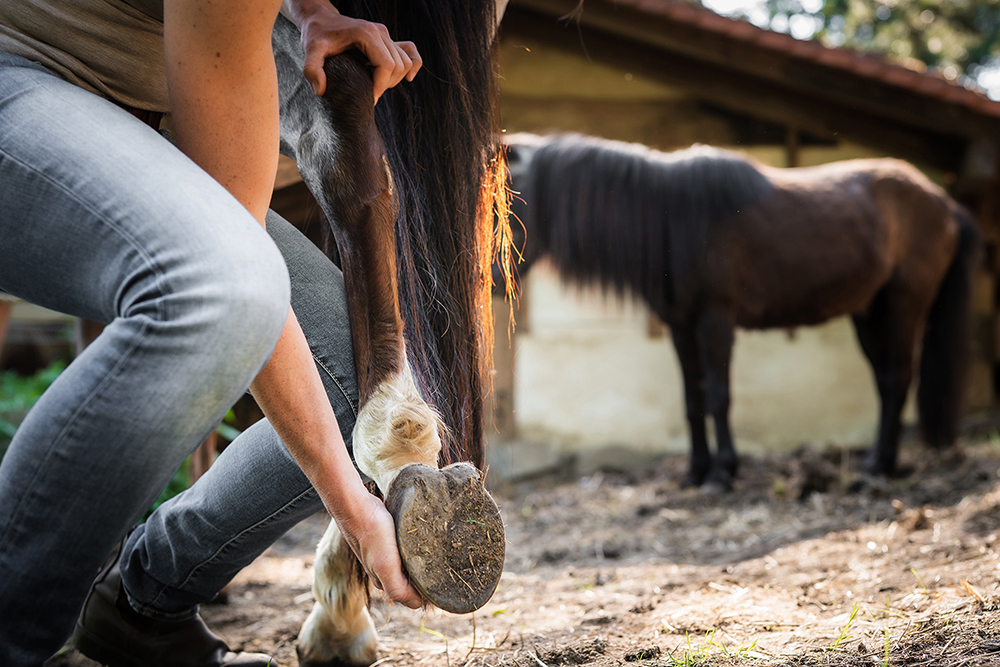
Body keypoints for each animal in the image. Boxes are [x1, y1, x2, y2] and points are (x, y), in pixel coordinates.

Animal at [500, 132, 976, 496]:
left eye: (506, 203)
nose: (489, 279)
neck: (673, 217)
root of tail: (945, 203)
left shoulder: (715, 322)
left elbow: (718, 396)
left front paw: (723, 474)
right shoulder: (680, 326)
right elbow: (692, 400)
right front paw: (696, 472)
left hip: (902, 307)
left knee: (898, 380)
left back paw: (879, 467)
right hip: (869, 314)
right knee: (885, 383)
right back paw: (878, 461)